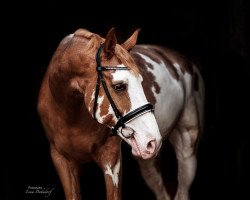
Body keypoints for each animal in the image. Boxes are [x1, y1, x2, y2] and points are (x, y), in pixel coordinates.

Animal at [37, 27, 205, 200]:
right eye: (119, 86)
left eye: (141, 82)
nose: (153, 140)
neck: (69, 117)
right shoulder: (62, 160)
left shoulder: (111, 161)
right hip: (148, 160)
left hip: (187, 149)